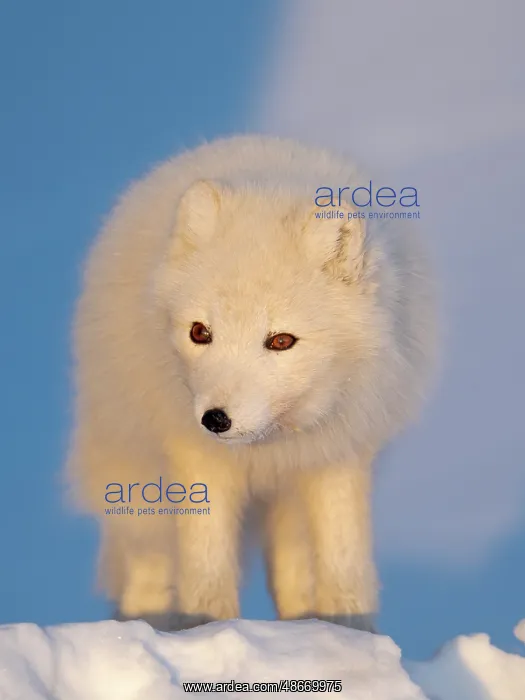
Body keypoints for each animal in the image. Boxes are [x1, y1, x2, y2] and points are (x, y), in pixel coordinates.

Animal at [66, 134, 436, 633]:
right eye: (199, 332)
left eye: (281, 341)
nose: (215, 420)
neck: (269, 447)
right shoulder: (197, 462)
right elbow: (207, 571)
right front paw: (208, 632)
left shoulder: (339, 456)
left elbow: (345, 567)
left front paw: (350, 634)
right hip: (138, 484)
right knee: (148, 569)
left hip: (290, 503)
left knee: (295, 575)